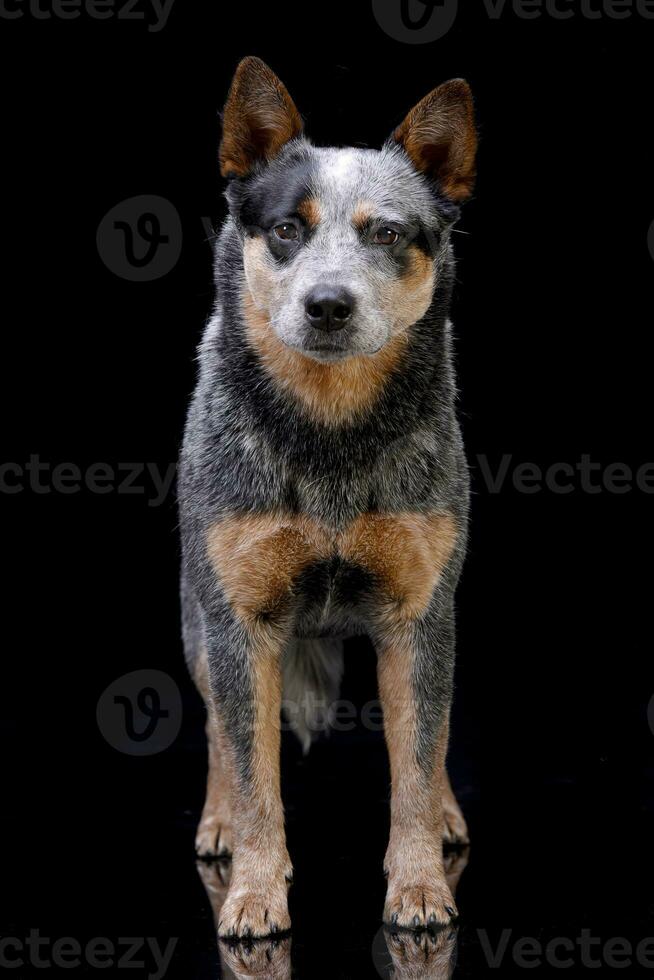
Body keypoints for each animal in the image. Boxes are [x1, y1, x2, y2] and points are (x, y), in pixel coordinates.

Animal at [179, 55, 476, 940]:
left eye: (386, 233)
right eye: (286, 229)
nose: (328, 304)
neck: (330, 438)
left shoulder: (421, 616)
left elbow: (417, 760)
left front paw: (419, 884)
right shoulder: (238, 621)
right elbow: (254, 774)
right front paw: (252, 891)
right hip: (196, 623)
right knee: (217, 729)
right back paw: (217, 821)